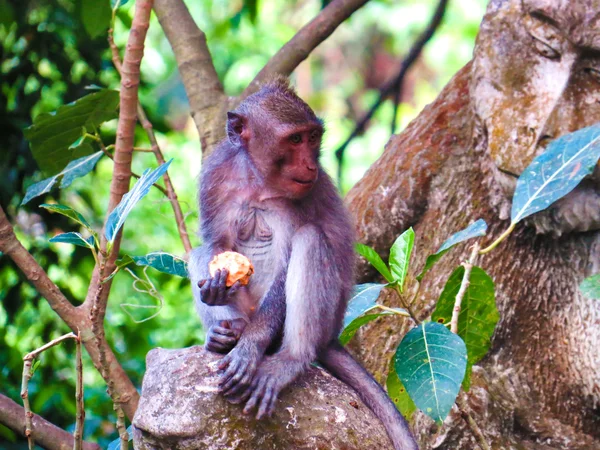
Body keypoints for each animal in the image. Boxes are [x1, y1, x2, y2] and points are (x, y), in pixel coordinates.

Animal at [188, 80, 418, 450]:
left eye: (312, 137)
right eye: (295, 140)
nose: (310, 165)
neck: (258, 181)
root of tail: (332, 336)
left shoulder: (301, 199)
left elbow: (288, 262)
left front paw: (251, 348)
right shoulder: (215, 177)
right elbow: (216, 245)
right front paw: (215, 287)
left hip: (324, 320)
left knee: (310, 240)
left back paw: (289, 357)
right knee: (198, 253)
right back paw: (226, 334)